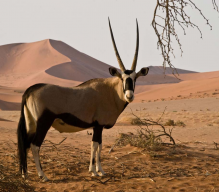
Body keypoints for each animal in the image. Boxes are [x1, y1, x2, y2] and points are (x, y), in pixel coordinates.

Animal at [17, 18, 149, 181]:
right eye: (122, 78)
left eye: (135, 78)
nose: (129, 95)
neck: (111, 91)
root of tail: (29, 90)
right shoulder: (98, 125)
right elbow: (95, 145)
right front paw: (95, 171)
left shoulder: (98, 126)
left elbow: (99, 145)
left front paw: (99, 170)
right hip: (43, 123)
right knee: (35, 145)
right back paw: (43, 175)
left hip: (31, 124)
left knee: (25, 144)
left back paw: (25, 174)